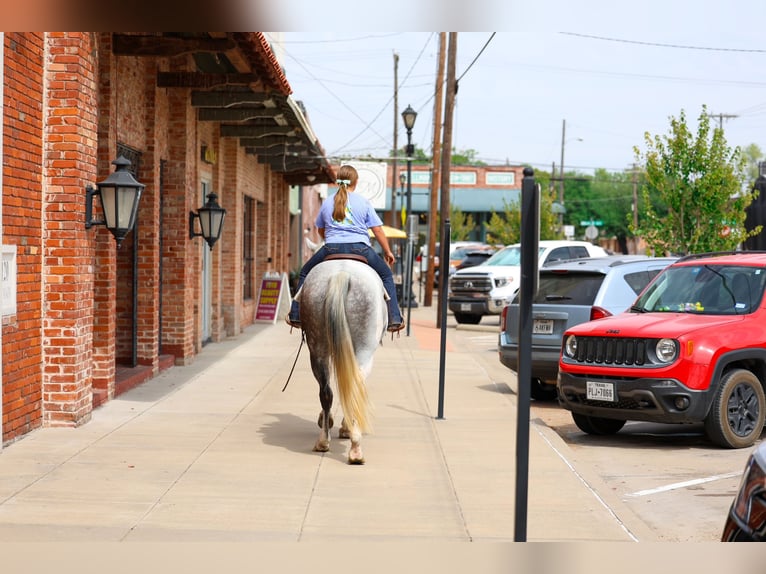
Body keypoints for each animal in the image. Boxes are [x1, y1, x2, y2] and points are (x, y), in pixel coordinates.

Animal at [295, 257, 388, 464]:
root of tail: (341, 274)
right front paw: (346, 428)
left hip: (317, 347)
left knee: (326, 391)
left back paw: (323, 441)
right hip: (364, 350)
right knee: (354, 388)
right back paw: (355, 448)